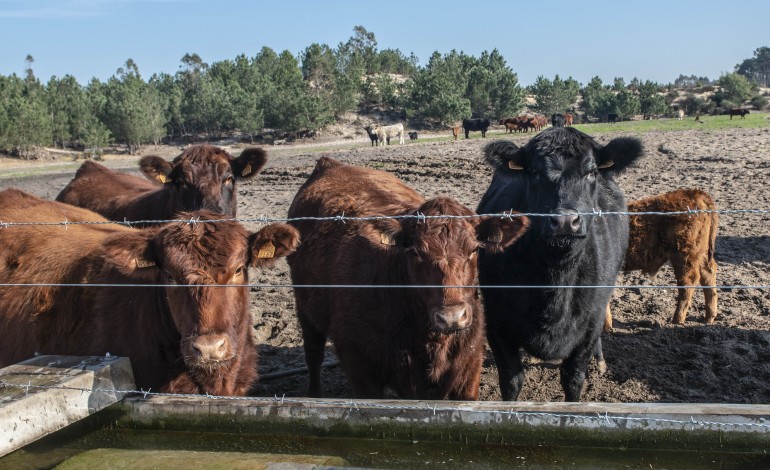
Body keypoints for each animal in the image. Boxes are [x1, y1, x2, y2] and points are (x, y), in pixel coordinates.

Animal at [286, 158, 528, 400]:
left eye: (474, 249)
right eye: (414, 252)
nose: (451, 317)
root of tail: (330, 164)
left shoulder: (469, 369)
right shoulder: (360, 368)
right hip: (304, 307)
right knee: (313, 352)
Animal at [474, 127, 640, 400]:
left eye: (591, 172)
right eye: (533, 172)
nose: (564, 222)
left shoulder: (590, 323)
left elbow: (573, 379)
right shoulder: (496, 321)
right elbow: (511, 380)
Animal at [604, 186, 716, 326]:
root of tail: (694, 193)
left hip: (684, 256)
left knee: (688, 282)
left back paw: (677, 319)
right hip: (700, 254)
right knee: (708, 274)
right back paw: (709, 317)